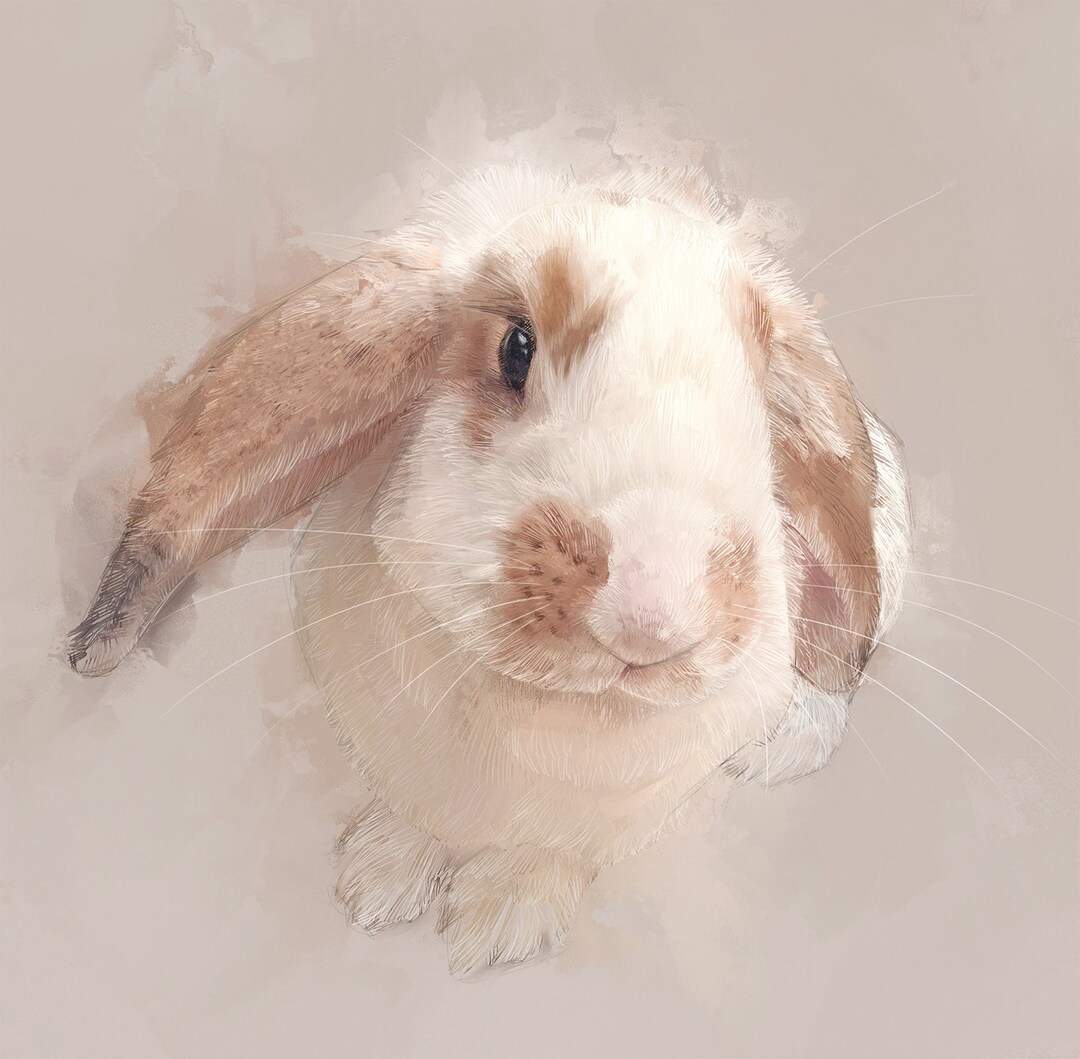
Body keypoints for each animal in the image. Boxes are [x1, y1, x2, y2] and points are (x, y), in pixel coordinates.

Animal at [66, 164, 911, 978]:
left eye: (757, 406)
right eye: (516, 349)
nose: (653, 617)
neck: (544, 708)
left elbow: (558, 852)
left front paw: (500, 917)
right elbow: (411, 815)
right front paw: (380, 877)